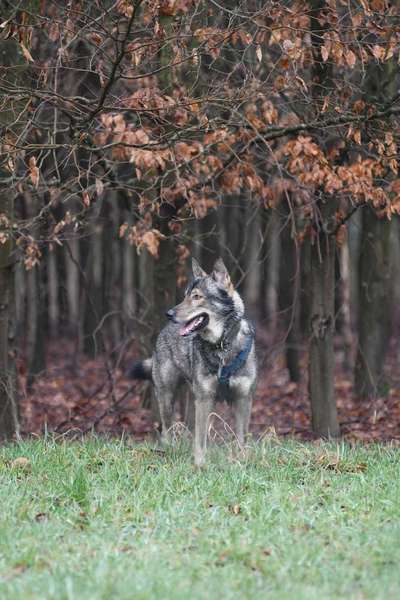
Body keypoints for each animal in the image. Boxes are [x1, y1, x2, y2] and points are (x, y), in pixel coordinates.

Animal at [131, 255, 256, 466]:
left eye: (197, 297)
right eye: (185, 296)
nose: (169, 314)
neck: (222, 346)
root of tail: (163, 331)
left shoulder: (242, 398)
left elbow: (241, 438)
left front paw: (242, 462)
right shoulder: (205, 398)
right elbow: (201, 440)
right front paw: (199, 465)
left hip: (193, 400)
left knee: (189, 429)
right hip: (168, 397)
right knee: (167, 431)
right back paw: (169, 452)